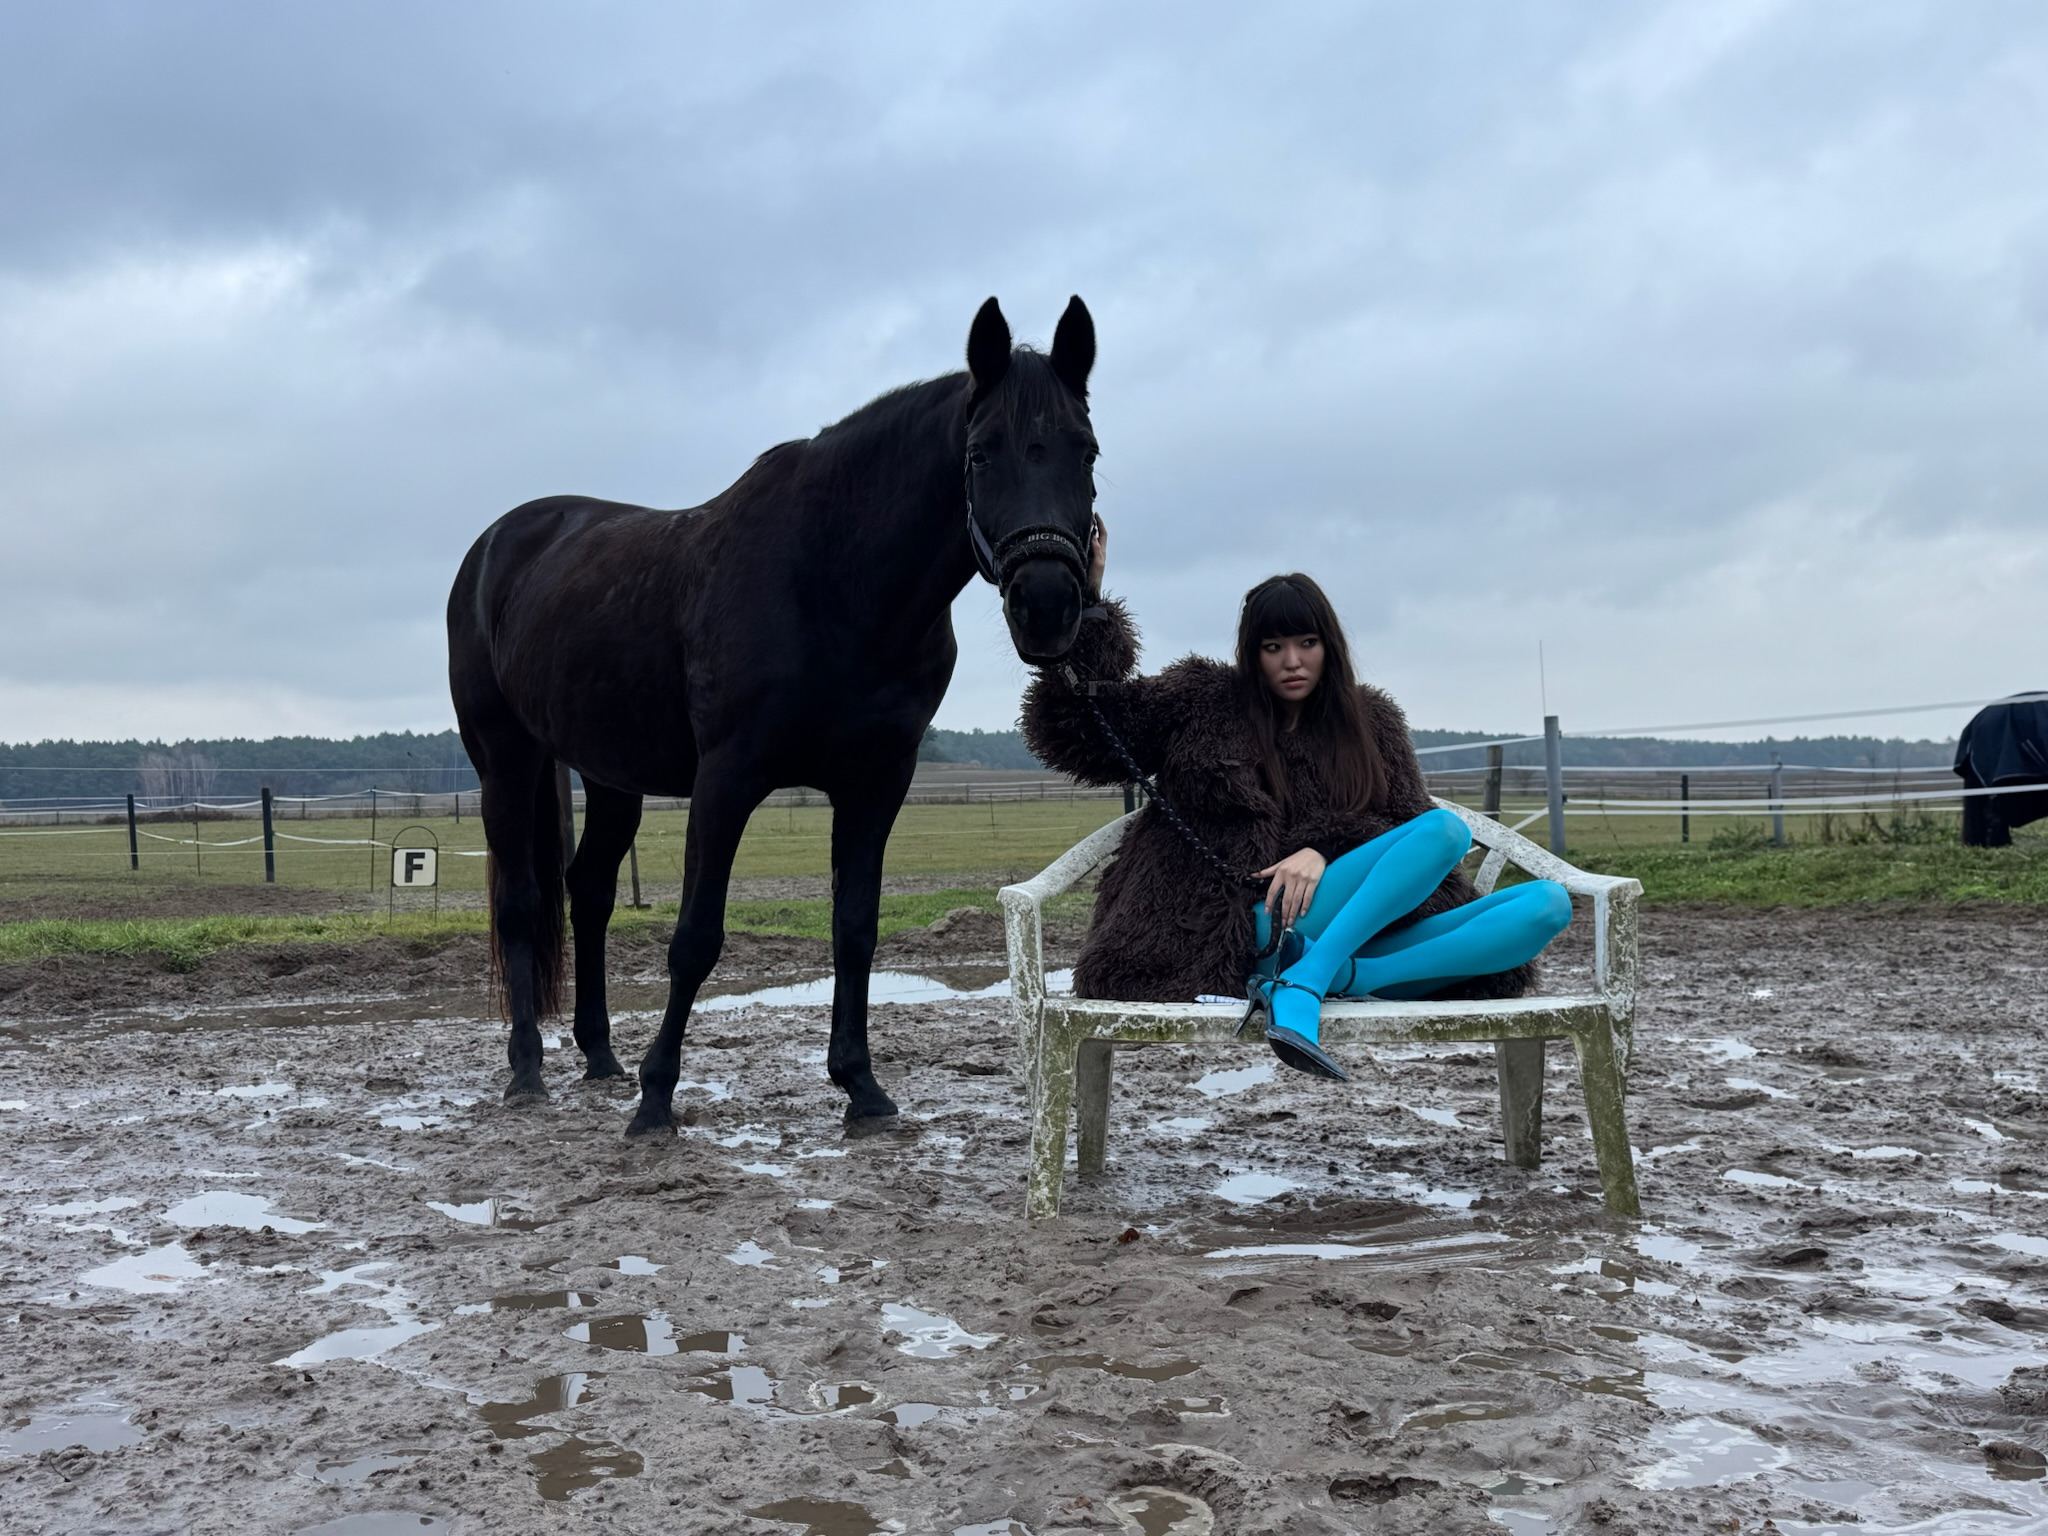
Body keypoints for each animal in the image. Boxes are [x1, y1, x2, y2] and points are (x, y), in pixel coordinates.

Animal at [447, 296, 1099, 1133]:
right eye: (982, 454)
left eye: (1086, 452)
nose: (1046, 606)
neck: (832, 577)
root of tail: (498, 543)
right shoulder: (727, 779)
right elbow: (695, 938)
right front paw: (657, 1098)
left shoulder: (876, 784)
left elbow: (855, 928)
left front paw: (861, 1085)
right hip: (507, 756)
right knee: (522, 902)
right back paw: (528, 1069)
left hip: (611, 775)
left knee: (588, 892)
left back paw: (600, 1057)